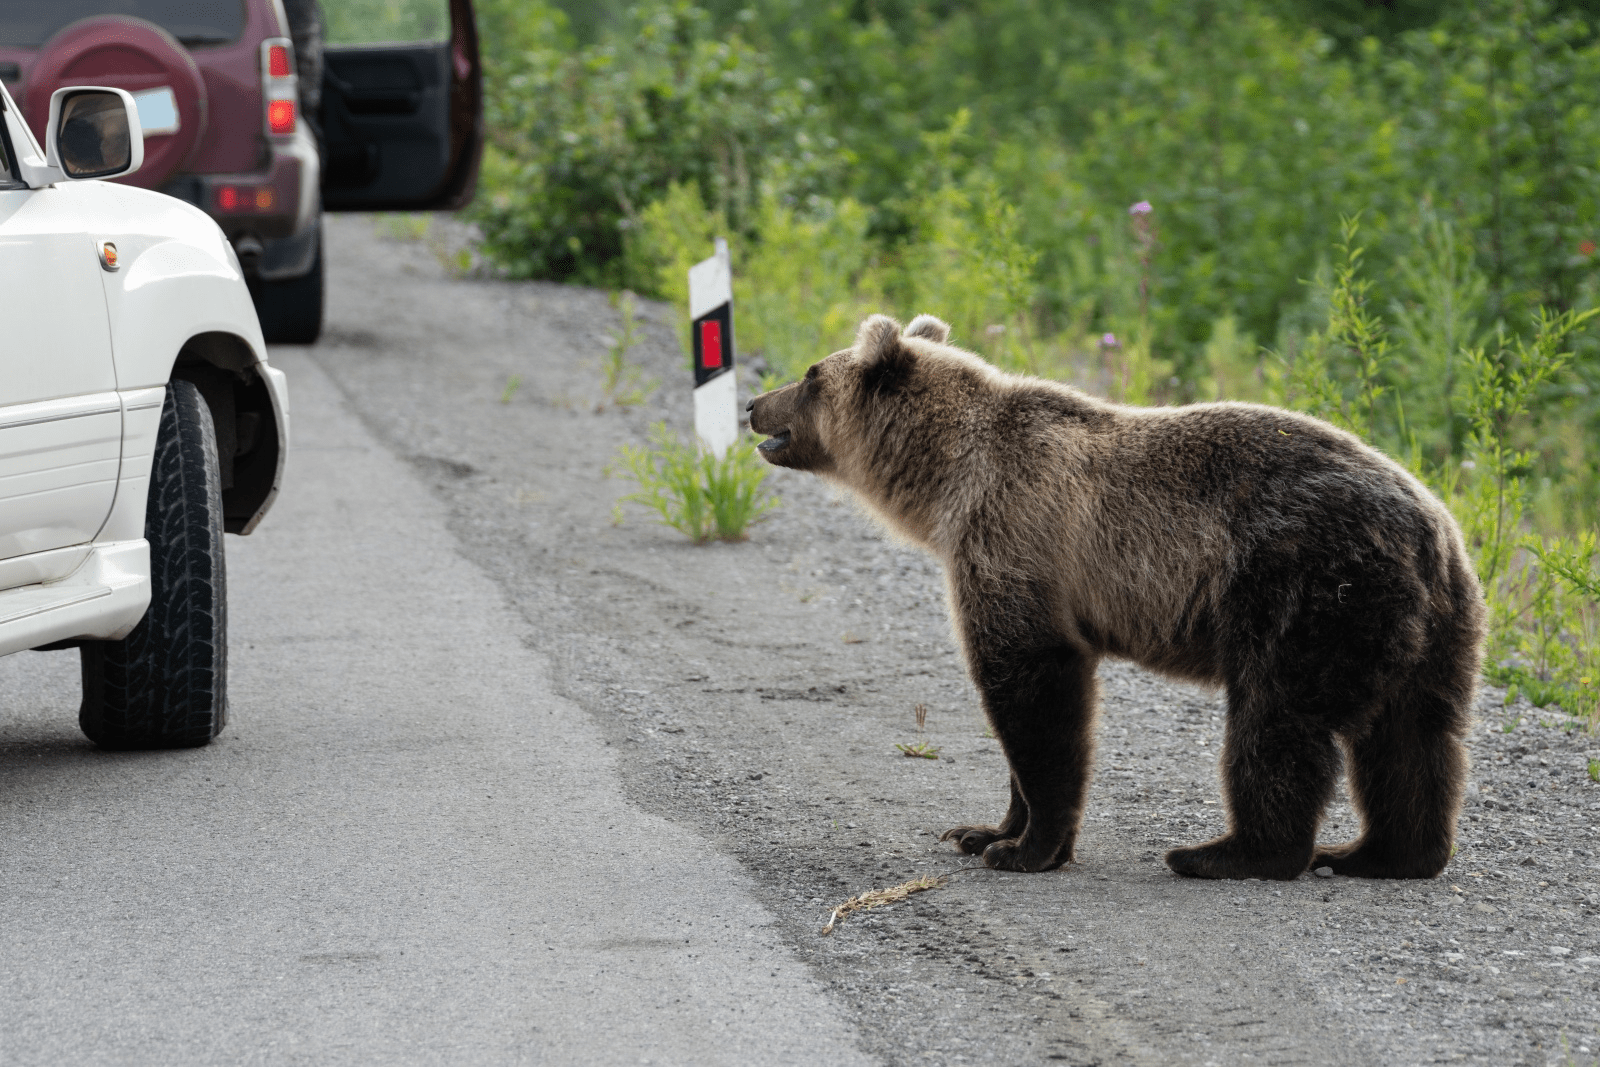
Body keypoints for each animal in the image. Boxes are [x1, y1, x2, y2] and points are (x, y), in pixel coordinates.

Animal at [748, 313, 1484, 883]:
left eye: (811, 374)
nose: (754, 404)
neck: (946, 480)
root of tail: (1432, 528)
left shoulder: (1015, 540)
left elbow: (1035, 695)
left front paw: (1026, 848)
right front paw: (983, 830)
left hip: (1304, 588)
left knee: (1277, 722)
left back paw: (1225, 853)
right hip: (1433, 625)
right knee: (1415, 738)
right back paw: (1379, 853)